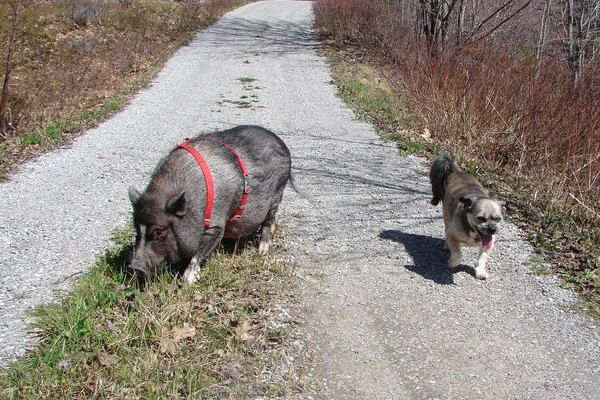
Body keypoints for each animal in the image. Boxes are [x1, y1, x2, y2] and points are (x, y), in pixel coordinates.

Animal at [127, 126, 292, 284]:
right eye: (137, 230)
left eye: (160, 232)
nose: (135, 266)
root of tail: (282, 143)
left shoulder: (216, 225)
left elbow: (199, 254)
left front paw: (186, 281)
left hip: (277, 193)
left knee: (268, 220)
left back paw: (262, 252)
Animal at [428, 152, 504, 280]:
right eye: (480, 218)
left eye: (497, 219)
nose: (492, 229)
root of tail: (456, 171)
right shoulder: (452, 236)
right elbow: (458, 254)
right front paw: (452, 263)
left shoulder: (489, 244)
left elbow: (481, 258)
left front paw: (480, 271)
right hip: (446, 216)